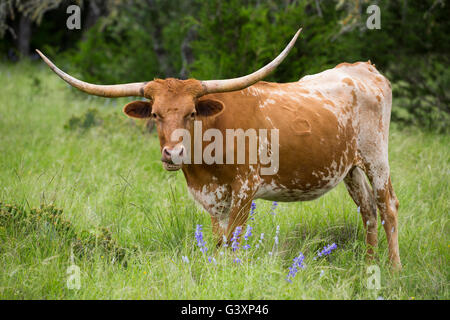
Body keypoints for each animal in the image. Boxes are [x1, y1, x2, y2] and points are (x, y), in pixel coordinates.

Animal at [36, 29, 400, 270]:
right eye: (155, 114)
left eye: (191, 113)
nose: (173, 154)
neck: (207, 155)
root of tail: (362, 67)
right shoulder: (210, 197)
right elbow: (217, 241)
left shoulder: (245, 190)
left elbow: (235, 240)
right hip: (349, 167)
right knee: (368, 210)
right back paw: (367, 268)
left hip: (376, 158)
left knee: (388, 207)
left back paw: (393, 270)